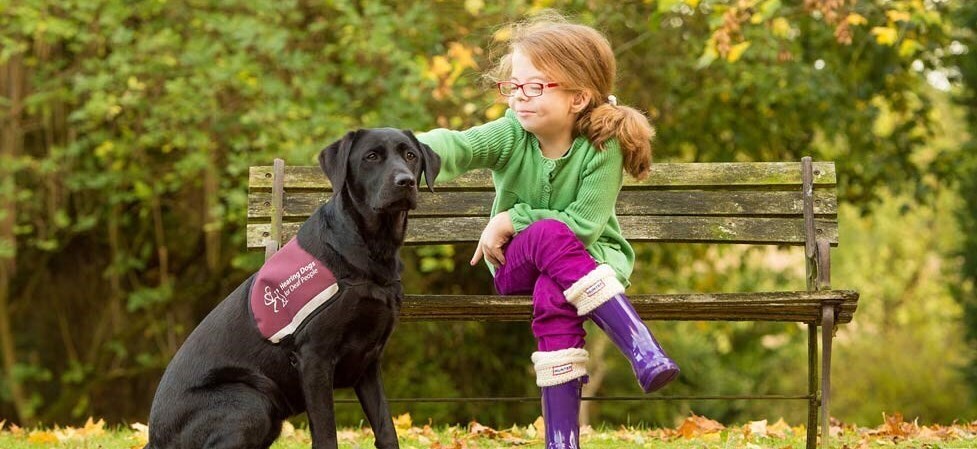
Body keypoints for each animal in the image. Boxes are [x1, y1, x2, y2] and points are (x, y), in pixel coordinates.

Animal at [145, 128, 438, 446]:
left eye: (410, 155)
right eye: (371, 156)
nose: (405, 181)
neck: (374, 249)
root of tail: (154, 438)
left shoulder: (369, 360)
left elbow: (386, 429)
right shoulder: (314, 357)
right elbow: (326, 434)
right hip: (249, 399)